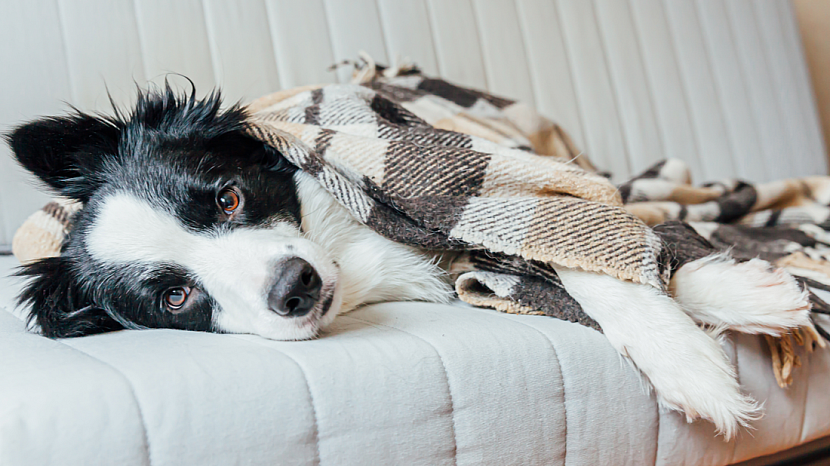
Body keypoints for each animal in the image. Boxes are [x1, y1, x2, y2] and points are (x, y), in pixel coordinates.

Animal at [6, 85, 812, 438]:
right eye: (175, 299)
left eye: (228, 197)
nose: (295, 287)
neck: (347, 253)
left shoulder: (485, 198)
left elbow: (590, 249)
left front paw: (711, 335)